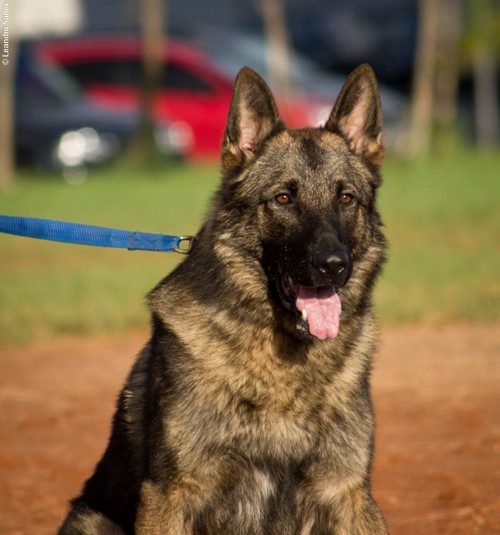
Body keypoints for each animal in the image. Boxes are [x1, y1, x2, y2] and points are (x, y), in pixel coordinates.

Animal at [59, 64, 389, 534]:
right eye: (283, 198)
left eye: (346, 198)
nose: (332, 265)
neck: (281, 369)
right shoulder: (169, 495)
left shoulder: (348, 494)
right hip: (91, 520)